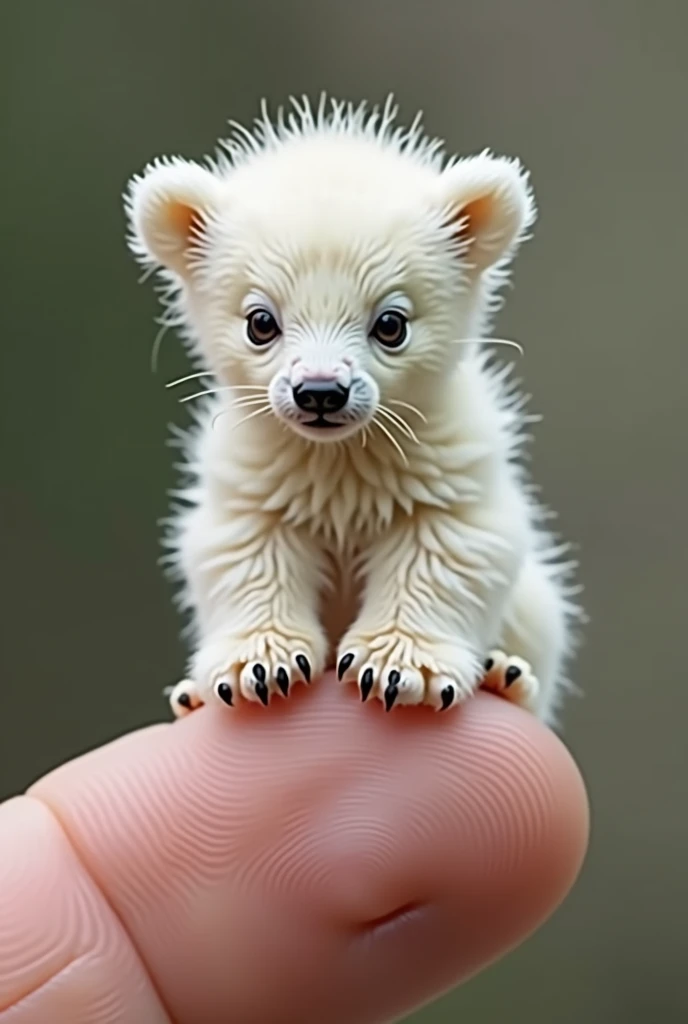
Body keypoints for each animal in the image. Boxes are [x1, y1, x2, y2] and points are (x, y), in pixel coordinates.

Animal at [123, 94, 581, 720]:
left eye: (391, 323)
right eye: (260, 321)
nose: (320, 391)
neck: (340, 466)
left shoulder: (451, 471)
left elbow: (447, 554)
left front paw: (401, 668)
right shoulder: (251, 481)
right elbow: (244, 556)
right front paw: (257, 666)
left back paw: (507, 676)